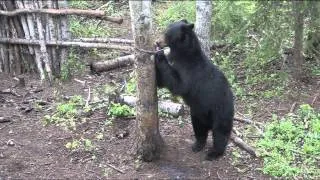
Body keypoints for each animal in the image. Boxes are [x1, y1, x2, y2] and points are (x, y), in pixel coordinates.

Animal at [156, 19, 235, 160]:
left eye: (167, 34)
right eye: (165, 30)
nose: (157, 42)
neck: (184, 55)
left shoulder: (190, 73)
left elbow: (178, 85)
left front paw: (160, 55)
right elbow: (163, 82)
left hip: (221, 111)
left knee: (220, 133)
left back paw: (214, 153)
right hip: (197, 114)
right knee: (199, 130)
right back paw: (197, 145)